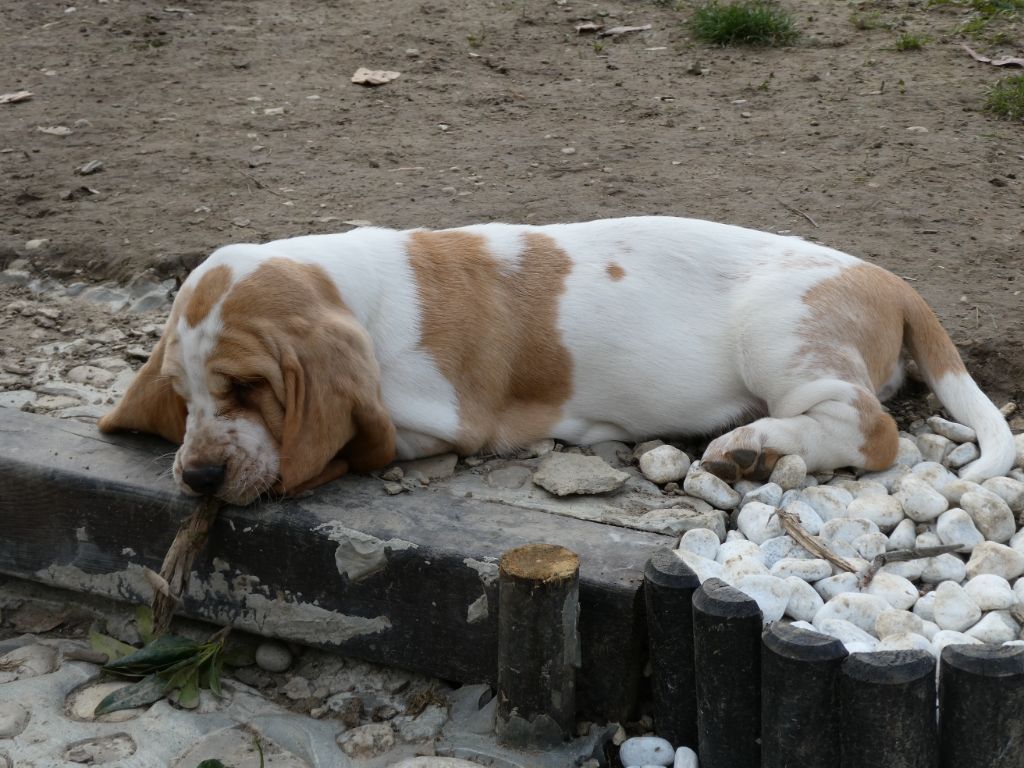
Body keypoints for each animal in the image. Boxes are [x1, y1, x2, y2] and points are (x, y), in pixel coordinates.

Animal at [97, 217, 1015, 505]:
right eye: (184, 393)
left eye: (250, 387)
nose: (199, 479)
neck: (354, 292)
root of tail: (889, 279)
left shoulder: (435, 420)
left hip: (778, 337)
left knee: (870, 430)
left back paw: (754, 448)